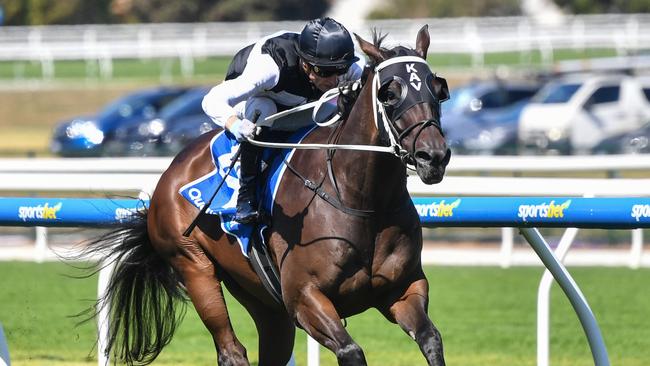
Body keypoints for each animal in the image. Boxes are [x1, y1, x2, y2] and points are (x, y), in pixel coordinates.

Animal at [87, 24, 450, 364]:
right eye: (390, 94)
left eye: (437, 89)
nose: (433, 156)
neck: (361, 200)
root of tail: (171, 172)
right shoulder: (305, 299)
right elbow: (351, 351)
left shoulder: (403, 289)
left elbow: (431, 338)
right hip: (194, 266)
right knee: (231, 349)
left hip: (260, 296)